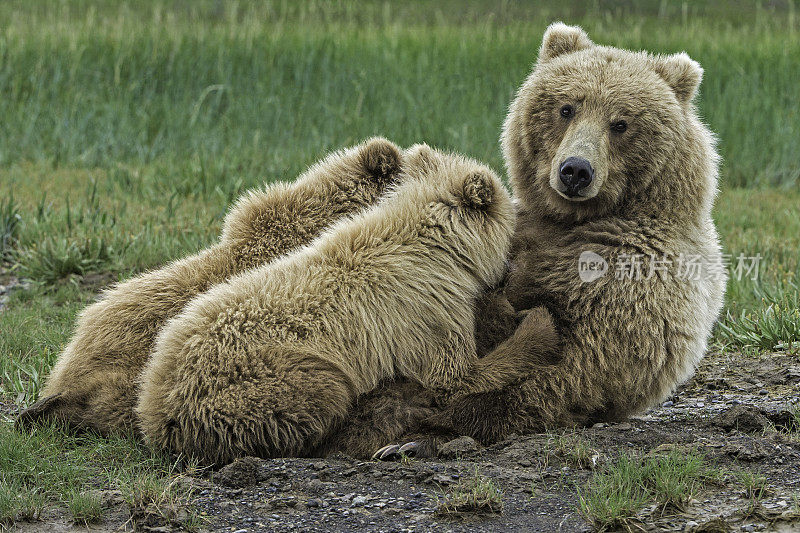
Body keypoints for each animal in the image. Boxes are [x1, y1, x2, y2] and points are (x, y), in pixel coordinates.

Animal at [136, 147, 556, 466]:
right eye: (514, 219)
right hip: (256, 379)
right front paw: (538, 321)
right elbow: (457, 377)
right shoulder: (429, 309)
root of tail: (155, 410)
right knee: (317, 395)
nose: (509, 273)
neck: (435, 249)